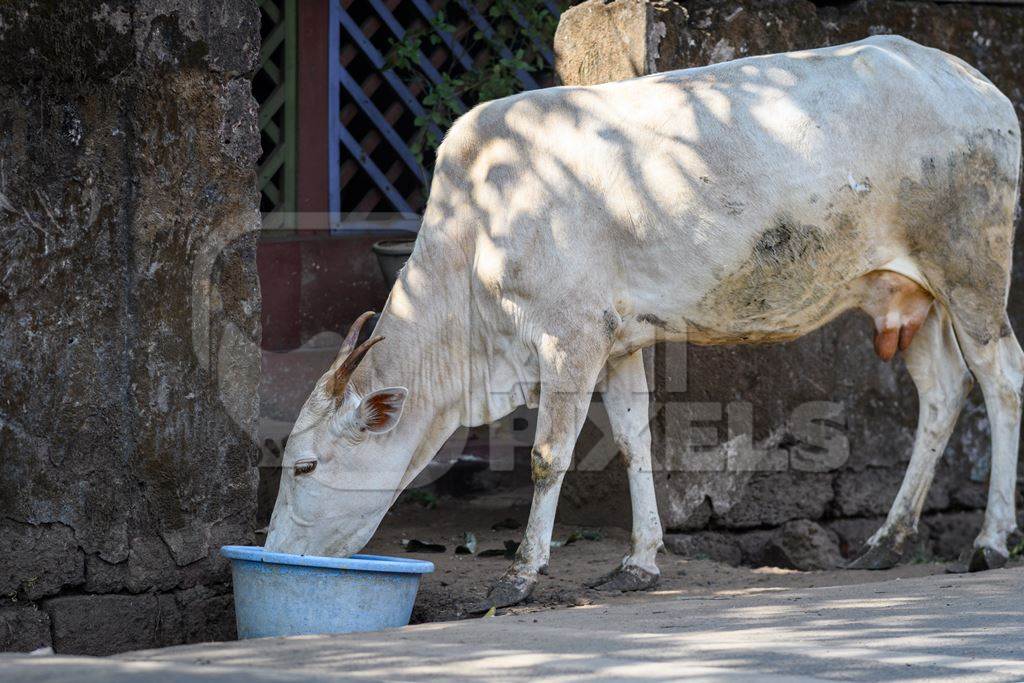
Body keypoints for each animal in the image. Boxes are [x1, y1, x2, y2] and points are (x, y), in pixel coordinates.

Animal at [266, 36, 1024, 610]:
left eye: (304, 464)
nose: (272, 551)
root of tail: (977, 82)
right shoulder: (617, 340)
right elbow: (634, 442)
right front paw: (640, 562)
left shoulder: (570, 338)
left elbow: (548, 456)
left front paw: (520, 573)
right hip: (907, 292)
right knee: (941, 392)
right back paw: (886, 541)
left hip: (971, 271)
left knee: (1001, 378)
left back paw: (988, 542)